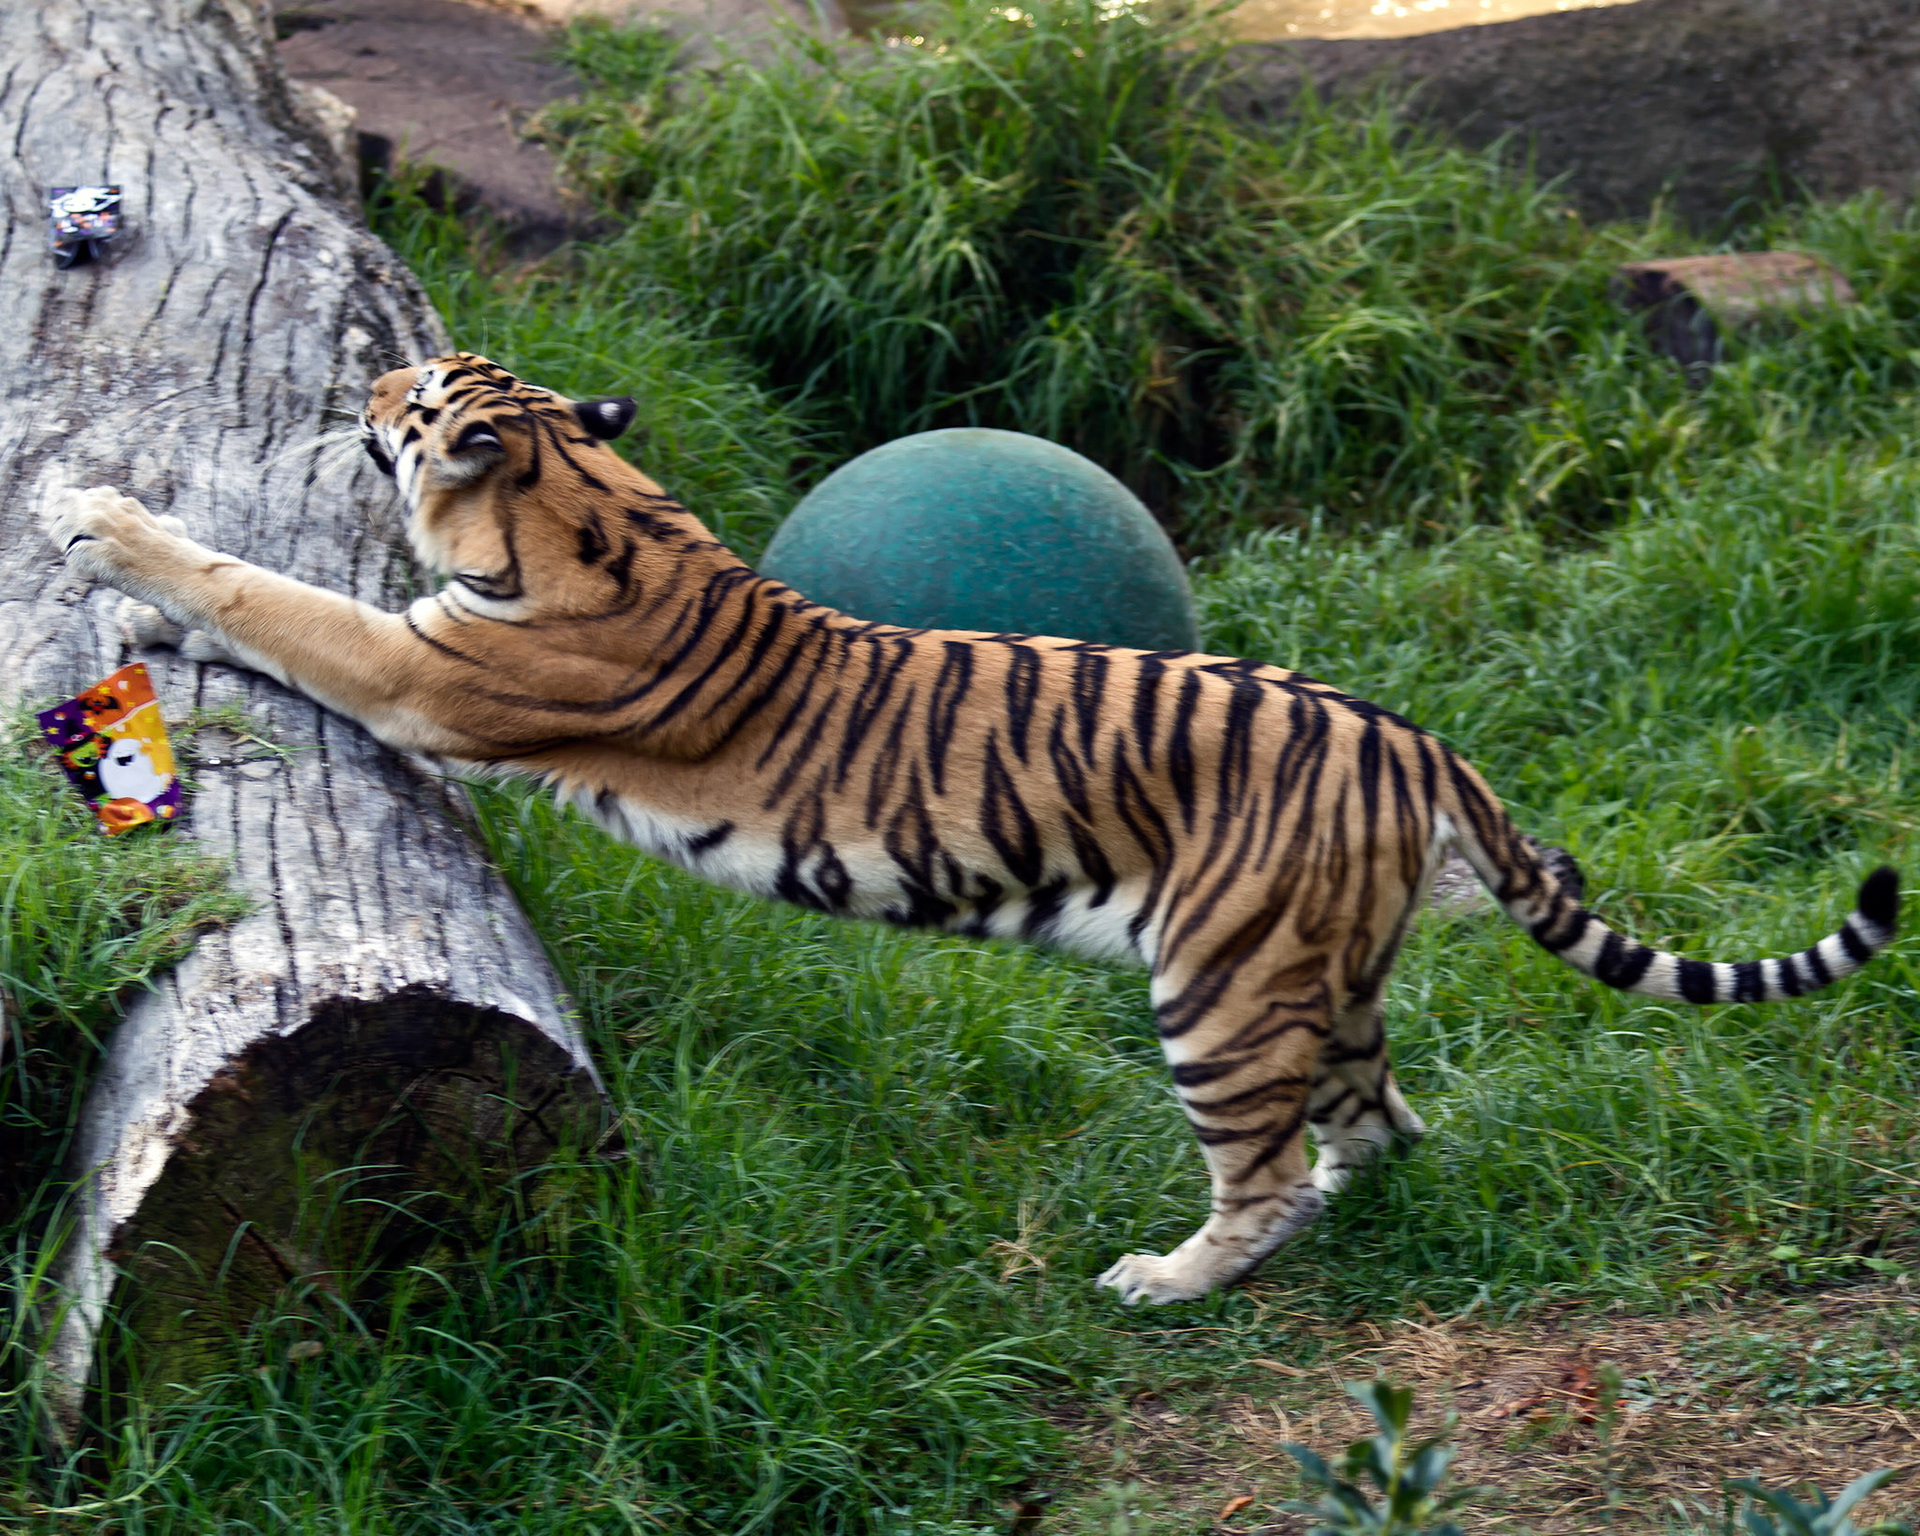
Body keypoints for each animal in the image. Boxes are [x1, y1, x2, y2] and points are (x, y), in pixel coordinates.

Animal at [43, 352, 1902, 1306]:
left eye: (417, 385)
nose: (364, 378)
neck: (578, 493)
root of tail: (1423, 744)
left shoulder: (430, 672)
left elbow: (272, 594)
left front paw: (108, 527)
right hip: (1333, 979)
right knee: (1382, 1129)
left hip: (1222, 985)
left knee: (1270, 1174)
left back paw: (1165, 1278)